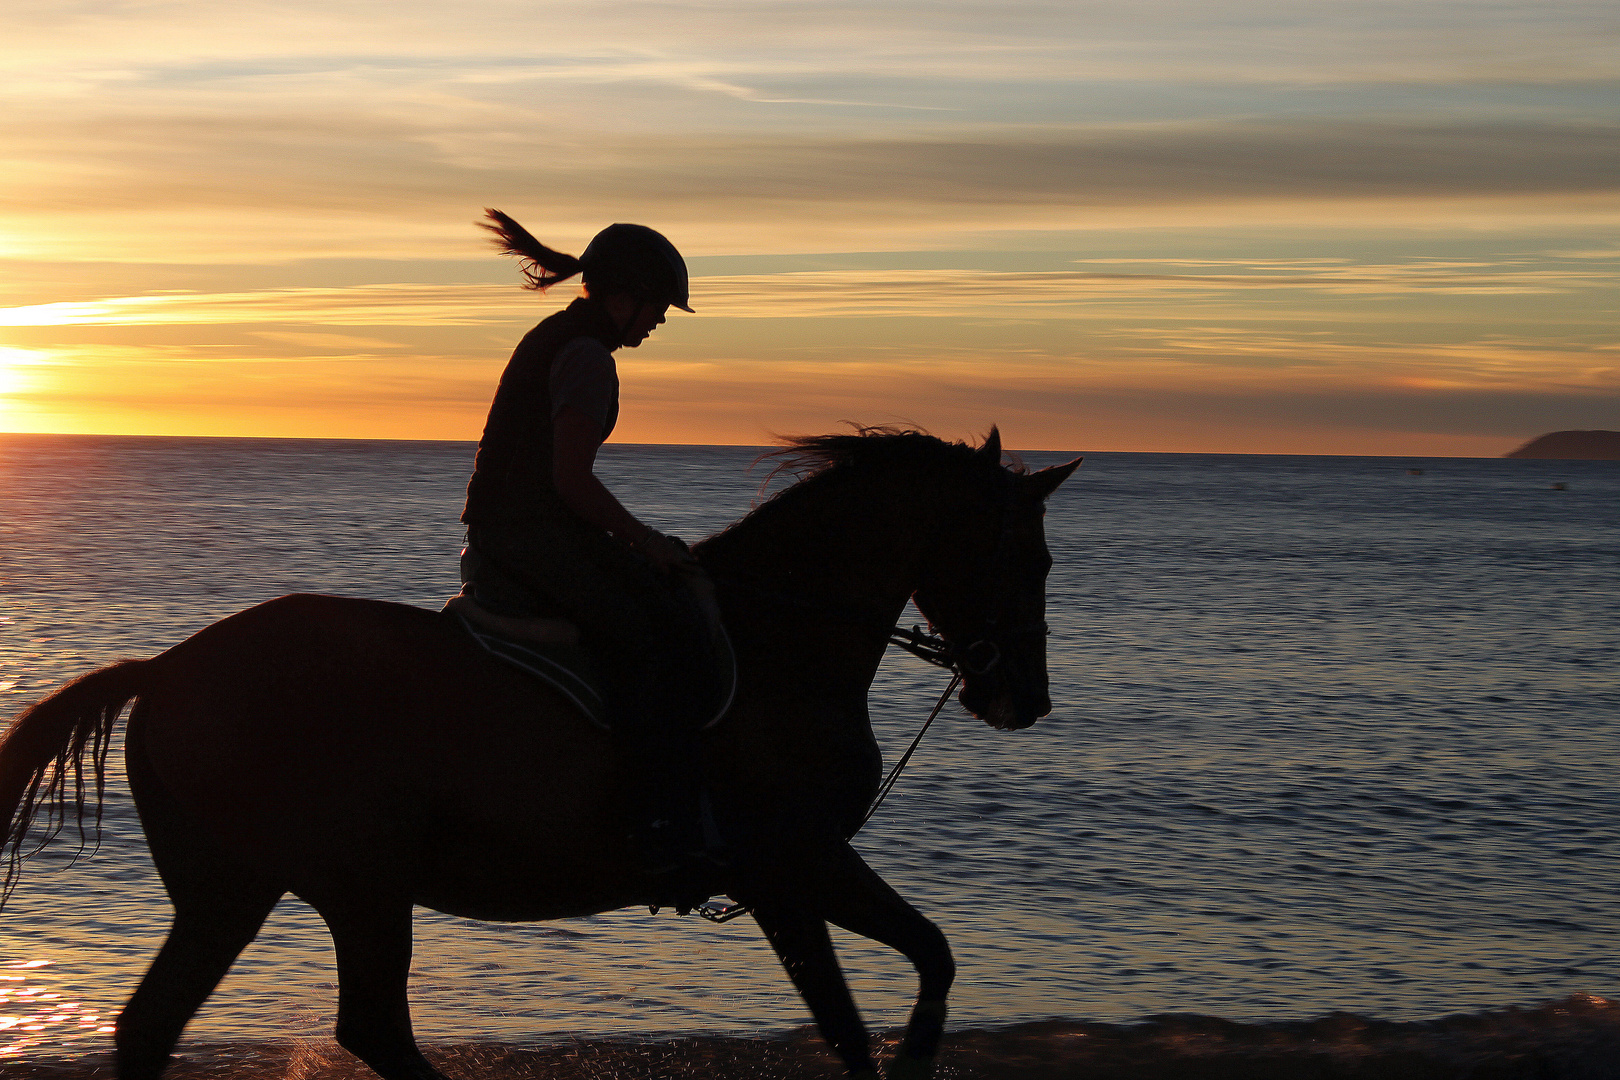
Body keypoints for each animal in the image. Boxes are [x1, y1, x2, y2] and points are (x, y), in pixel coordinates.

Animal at [0, 427, 1075, 1080]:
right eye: (1032, 558)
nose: (1023, 699)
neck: (781, 641)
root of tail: (167, 669)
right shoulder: (787, 868)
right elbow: (856, 1019)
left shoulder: (808, 867)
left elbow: (930, 957)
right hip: (359, 882)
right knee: (370, 1027)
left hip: (236, 889)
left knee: (156, 1025)